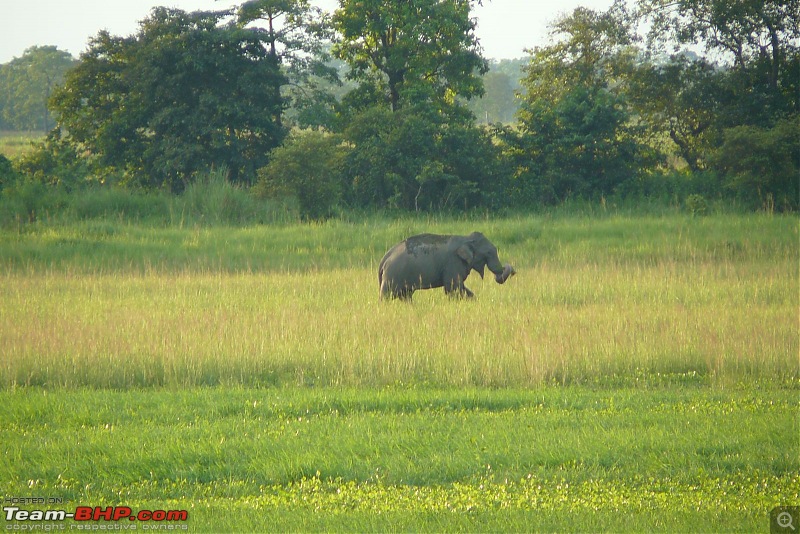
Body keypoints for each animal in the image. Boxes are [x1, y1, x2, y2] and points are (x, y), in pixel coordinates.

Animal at [378, 232, 516, 302]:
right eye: (489, 253)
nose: (513, 271)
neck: (466, 239)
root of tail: (384, 258)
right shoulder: (452, 263)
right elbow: (453, 287)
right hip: (392, 276)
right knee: (387, 295)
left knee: (405, 295)